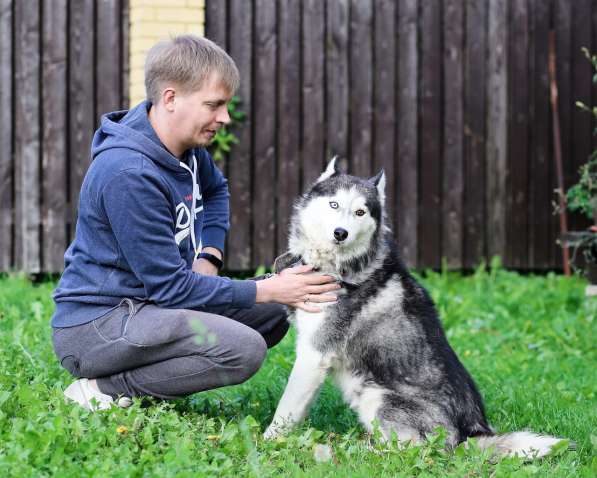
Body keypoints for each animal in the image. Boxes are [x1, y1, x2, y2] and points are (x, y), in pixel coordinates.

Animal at [264, 159, 564, 458]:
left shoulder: (313, 355)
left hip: (376, 396)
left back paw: (350, 448)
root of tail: (468, 435)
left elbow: (286, 408)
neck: (337, 267)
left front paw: (268, 441)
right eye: (334, 204)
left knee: (409, 450)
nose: (341, 233)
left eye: (360, 212)